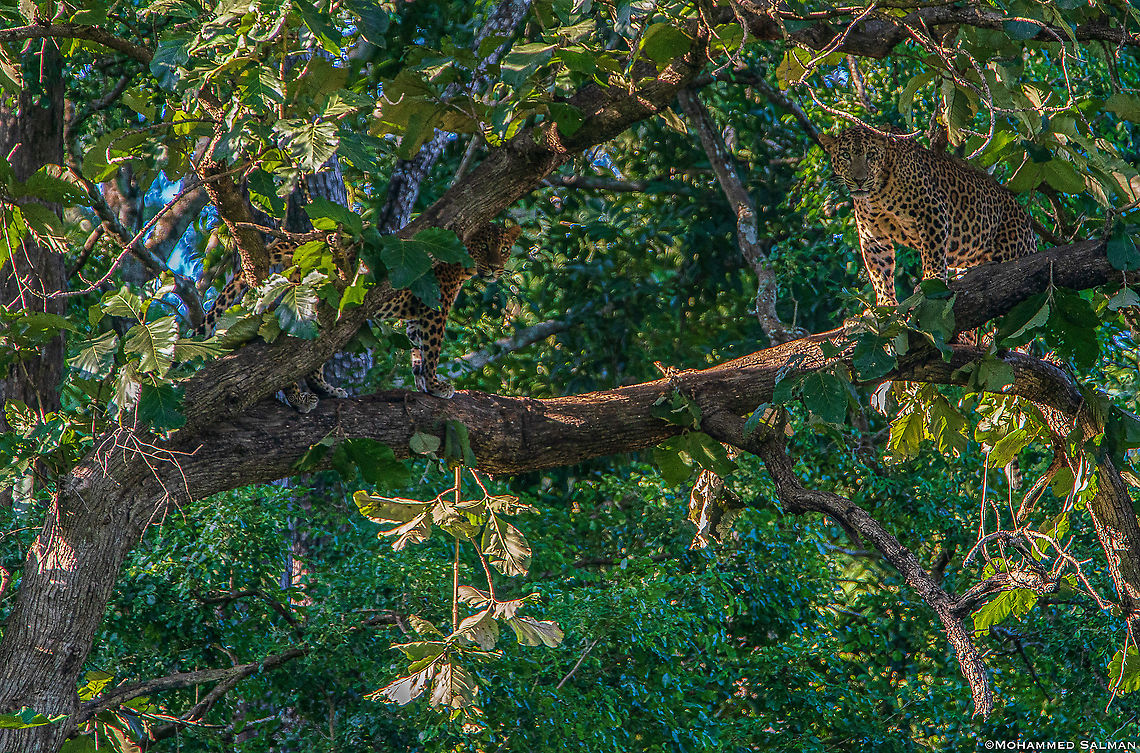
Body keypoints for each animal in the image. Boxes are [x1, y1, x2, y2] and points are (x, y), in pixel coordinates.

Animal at [193, 222, 522, 411]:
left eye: (504, 249)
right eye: (483, 247)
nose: (495, 267)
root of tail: (291, 242)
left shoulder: (416, 315)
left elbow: (418, 350)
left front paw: (423, 384)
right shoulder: (434, 310)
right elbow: (432, 350)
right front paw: (436, 384)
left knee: (309, 363)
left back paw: (328, 391)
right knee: (285, 359)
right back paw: (299, 400)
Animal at [818, 127, 1037, 317]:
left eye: (871, 155)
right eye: (845, 155)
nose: (859, 180)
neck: (876, 194)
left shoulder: (931, 211)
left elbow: (933, 253)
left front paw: (932, 281)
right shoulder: (872, 235)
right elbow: (880, 272)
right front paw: (885, 303)